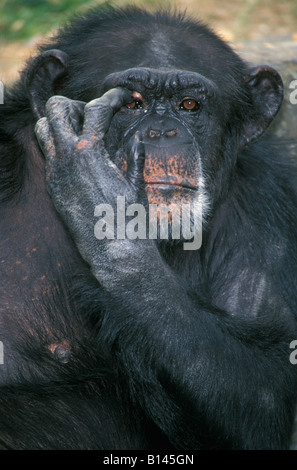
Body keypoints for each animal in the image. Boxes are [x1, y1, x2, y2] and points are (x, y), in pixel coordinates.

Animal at [0, 5, 296, 450]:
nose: (162, 132)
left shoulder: (266, 207)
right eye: (133, 104)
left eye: (189, 104)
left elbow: (266, 391)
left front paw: (109, 216)